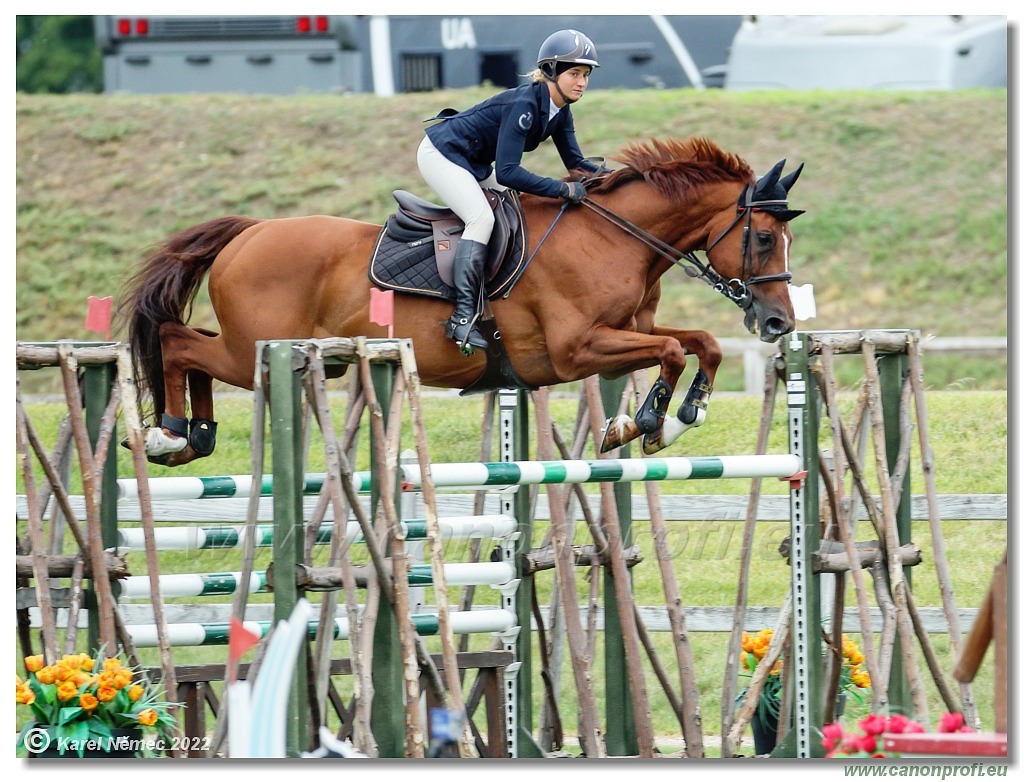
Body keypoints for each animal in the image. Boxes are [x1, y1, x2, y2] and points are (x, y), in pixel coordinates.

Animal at [117, 135, 798, 466]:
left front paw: (682, 418)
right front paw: (642, 422)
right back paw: (169, 434)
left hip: (284, 351)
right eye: (764, 237)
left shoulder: (626, 332)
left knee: (191, 351)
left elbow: (699, 344)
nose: (777, 322)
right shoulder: (575, 350)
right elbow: (673, 354)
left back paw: (193, 436)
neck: (614, 236)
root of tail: (249, 232)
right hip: (254, 349)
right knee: (179, 343)